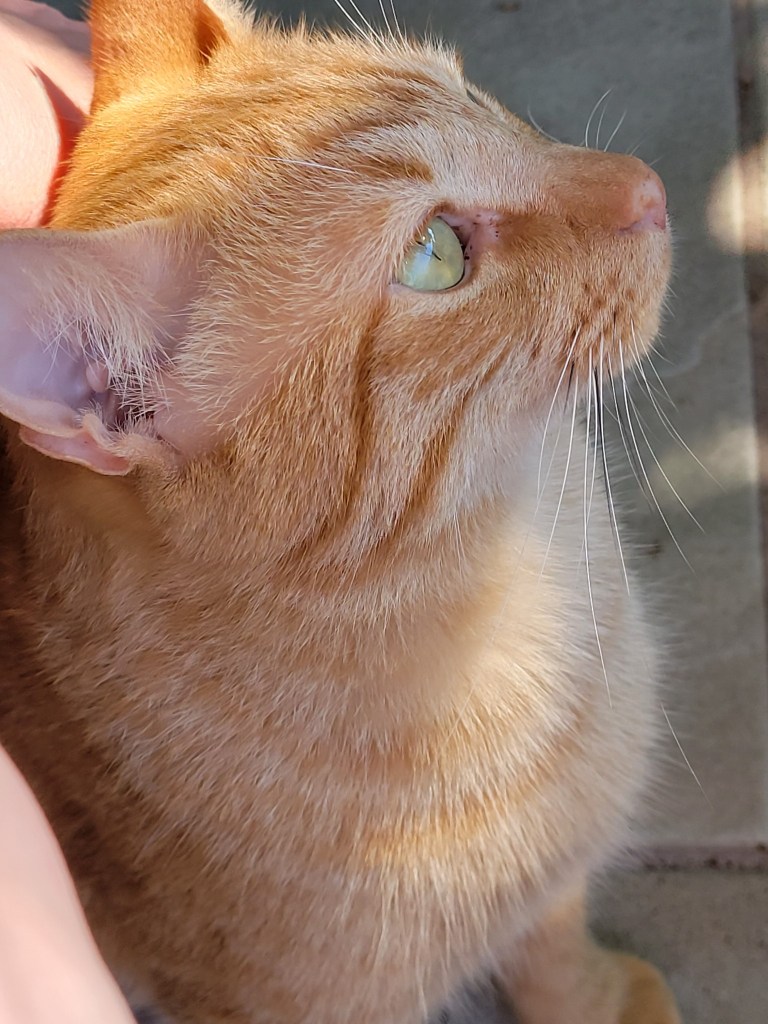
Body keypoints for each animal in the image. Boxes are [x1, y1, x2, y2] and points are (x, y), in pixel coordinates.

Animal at [0, 0, 680, 1022]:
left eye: (475, 95)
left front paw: (597, 996)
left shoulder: (552, 889)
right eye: (437, 253)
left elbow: (556, 948)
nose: (651, 186)